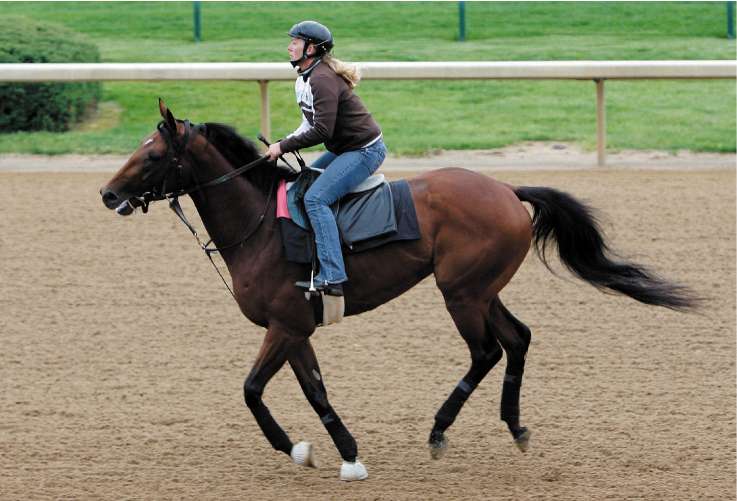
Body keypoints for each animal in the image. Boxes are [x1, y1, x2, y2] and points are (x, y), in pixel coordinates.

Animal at [99, 100, 696, 480]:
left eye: (152, 154)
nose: (107, 194)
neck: (261, 225)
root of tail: (506, 188)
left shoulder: (285, 324)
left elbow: (251, 390)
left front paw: (299, 449)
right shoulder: (295, 328)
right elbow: (314, 391)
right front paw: (339, 453)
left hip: (461, 293)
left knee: (487, 350)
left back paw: (438, 431)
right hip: (481, 290)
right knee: (518, 339)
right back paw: (515, 426)